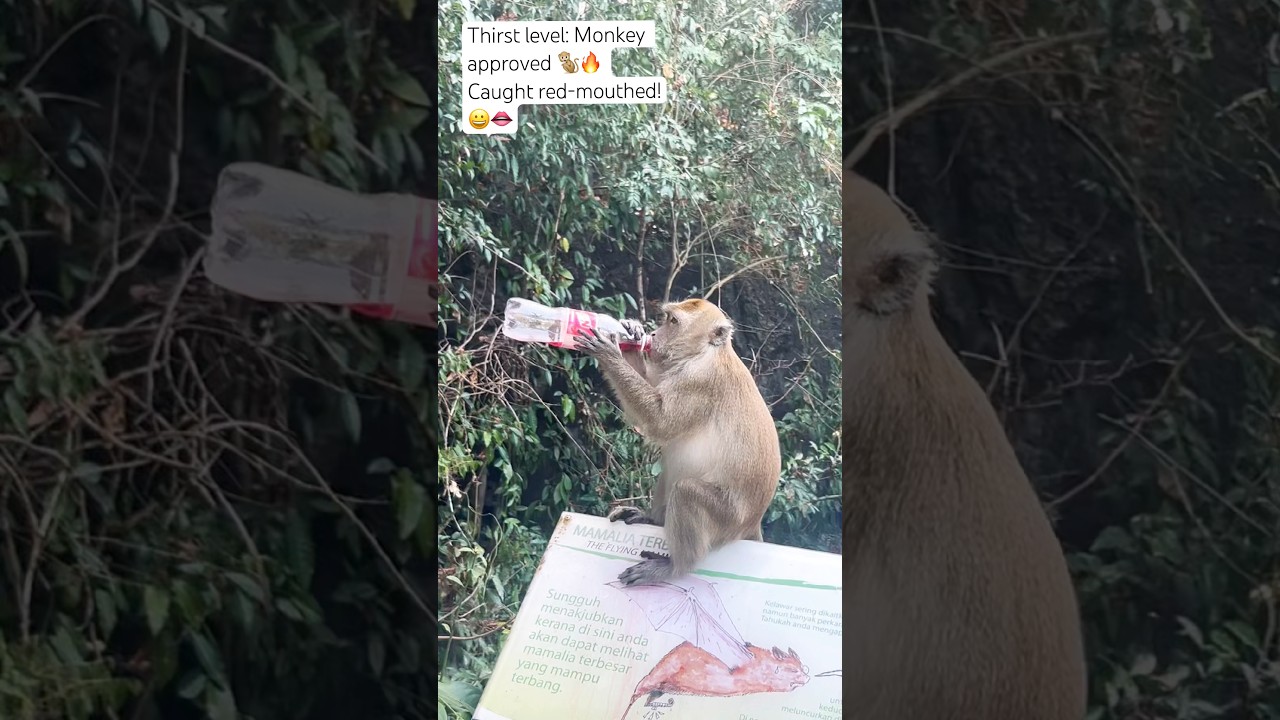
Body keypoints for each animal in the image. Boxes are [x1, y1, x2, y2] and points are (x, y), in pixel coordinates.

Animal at [577, 299, 782, 587]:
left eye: (673, 322)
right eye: (666, 318)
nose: (653, 335)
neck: (704, 353)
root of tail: (753, 522)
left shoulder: (699, 380)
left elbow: (659, 421)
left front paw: (610, 353)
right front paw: (632, 331)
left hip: (727, 520)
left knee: (686, 491)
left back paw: (675, 567)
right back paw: (652, 519)